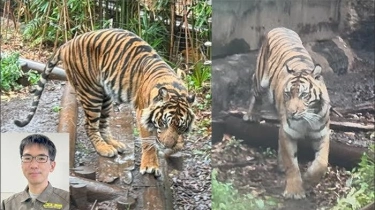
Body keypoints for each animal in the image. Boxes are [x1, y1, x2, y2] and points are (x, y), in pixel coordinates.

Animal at [13, 27, 197, 176]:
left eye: (180, 126)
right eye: (164, 123)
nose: (167, 146)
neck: (174, 89)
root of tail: (67, 43)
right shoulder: (141, 114)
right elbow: (149, 142)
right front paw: (151, 166)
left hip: (106, 95)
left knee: (103, 124)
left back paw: (114, 144)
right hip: (90, 92)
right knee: (89, 125)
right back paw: (104, 149)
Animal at [242, 27, 330, 199]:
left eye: (304, 95)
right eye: (288, 94)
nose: (291, 113)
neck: (306, 120)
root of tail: (280, 27)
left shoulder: (322, 133)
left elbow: (322, 162)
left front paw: (309, 178)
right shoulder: (288, 133)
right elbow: (292, 164)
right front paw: (294, 191)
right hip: (260, 81)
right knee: (254, 91)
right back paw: (251, 114)